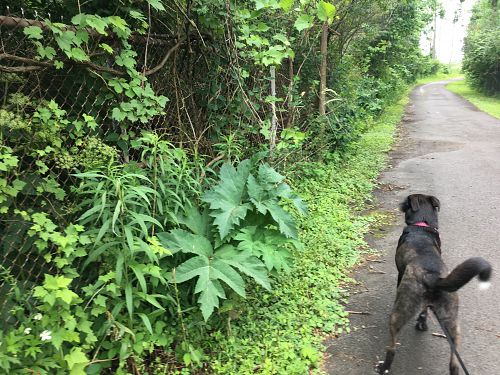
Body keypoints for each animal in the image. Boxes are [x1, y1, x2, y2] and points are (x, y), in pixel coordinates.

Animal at [376, 195, 490, 374]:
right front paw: (422, 322)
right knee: (454, 362)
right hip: (452, 322)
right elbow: (424, 311)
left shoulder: (401, 275)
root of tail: (434, 277)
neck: (421, 225)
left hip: (399, 313)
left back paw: (384, 367)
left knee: (392, 347)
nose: (400, 204)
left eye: (406, 202)